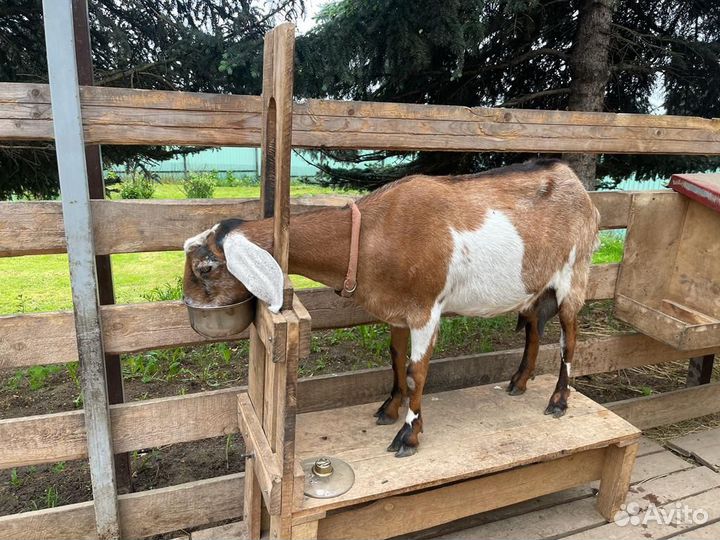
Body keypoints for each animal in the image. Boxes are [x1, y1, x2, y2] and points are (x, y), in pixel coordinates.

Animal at [183, 159, 600, 457]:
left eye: (205, 268)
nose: (188, 306)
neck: (371, 235)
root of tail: (576, 184)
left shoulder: (425, 309)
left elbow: (417, 370)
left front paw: (409, 435)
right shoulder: (398, 309)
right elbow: (396, 357)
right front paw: (389, 408)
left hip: (574, 274)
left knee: (570, 339)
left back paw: (559, 401)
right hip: (536, 285)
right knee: (533, 327)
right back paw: (519, 382)